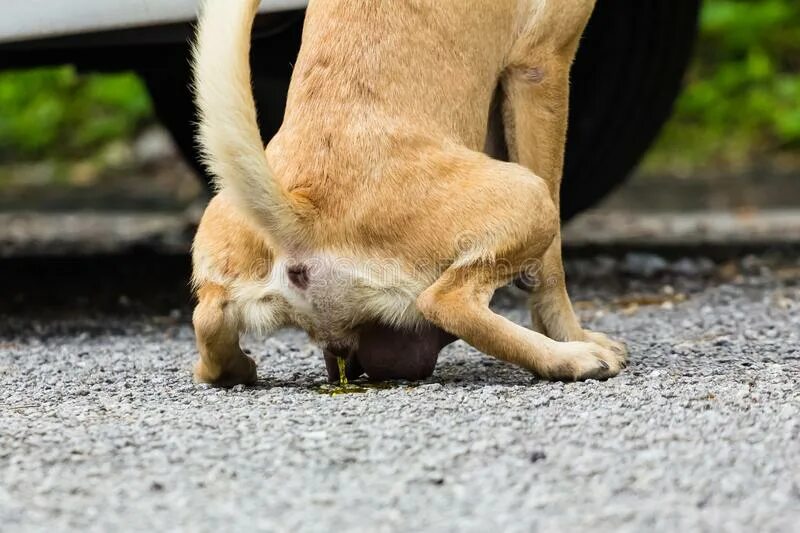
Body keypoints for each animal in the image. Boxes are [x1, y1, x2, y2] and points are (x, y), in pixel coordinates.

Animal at [191, 0, 628, 384]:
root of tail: (303, 214)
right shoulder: (540, 64)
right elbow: (552, 268)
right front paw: (573, 335)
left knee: (207, 324)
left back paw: (236, 368)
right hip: (531, 195)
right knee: (446, 302)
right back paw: (569, 357)